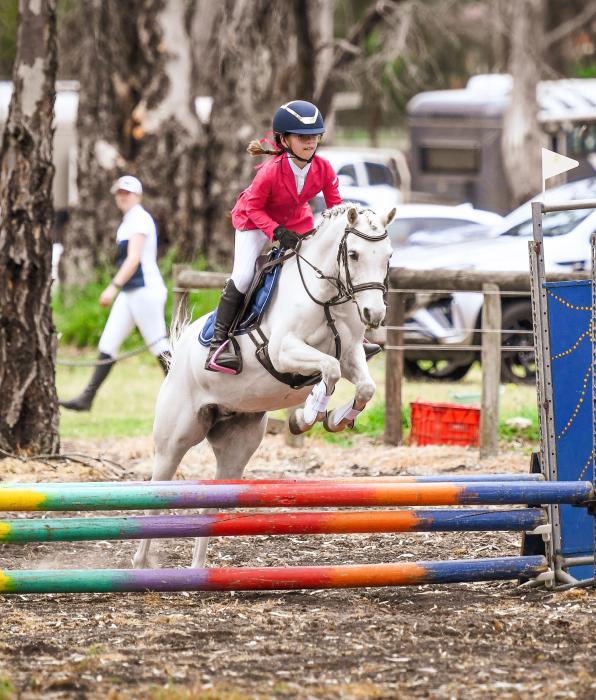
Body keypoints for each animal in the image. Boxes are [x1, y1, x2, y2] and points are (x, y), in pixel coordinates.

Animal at [132, 203, 395, 569]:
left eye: (388, 256)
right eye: (354, 254)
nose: (374, 314)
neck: (326, 298)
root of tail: (179, 351)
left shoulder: (352, 354)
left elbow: (364, 387)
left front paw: (333, 419)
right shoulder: (282, 351)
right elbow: (327, 371)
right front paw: (307, 415)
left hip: (237, 444)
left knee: (213, 499)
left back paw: (197, 569)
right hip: (175, 437)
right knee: (158, 485)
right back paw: (142, 564)